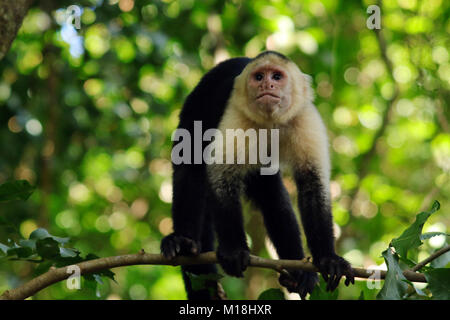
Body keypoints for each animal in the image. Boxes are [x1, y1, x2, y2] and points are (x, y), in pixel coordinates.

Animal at [160, 50, 354, 300]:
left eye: (277, 76)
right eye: (259, 76)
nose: (267, 85)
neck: (270, 122)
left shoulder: (305, 119)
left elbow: (312, 185)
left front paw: (328, 259)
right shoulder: (236, 115)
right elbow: (222, 176)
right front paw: (234, 251)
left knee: (272, 194)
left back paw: (296, 272)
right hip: (193, 108)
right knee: (190, 168)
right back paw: (183, 242)